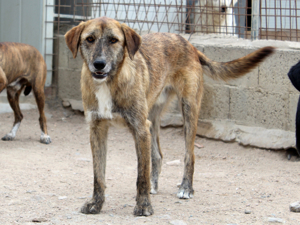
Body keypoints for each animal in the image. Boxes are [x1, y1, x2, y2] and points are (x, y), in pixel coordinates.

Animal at [64, 16, 276, 216]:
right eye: (89, 39)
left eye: (114, 40)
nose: (99, 64)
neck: (109, 82)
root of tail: (189, 44)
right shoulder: (97, 129)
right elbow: (98, 174)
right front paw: (96, 204)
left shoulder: (139, 128)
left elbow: (141, 175)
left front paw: (144, 206)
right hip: (152, 119)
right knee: (158, 155)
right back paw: (154, 185)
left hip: (188, 110)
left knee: (189, 155)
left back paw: (186, 188)